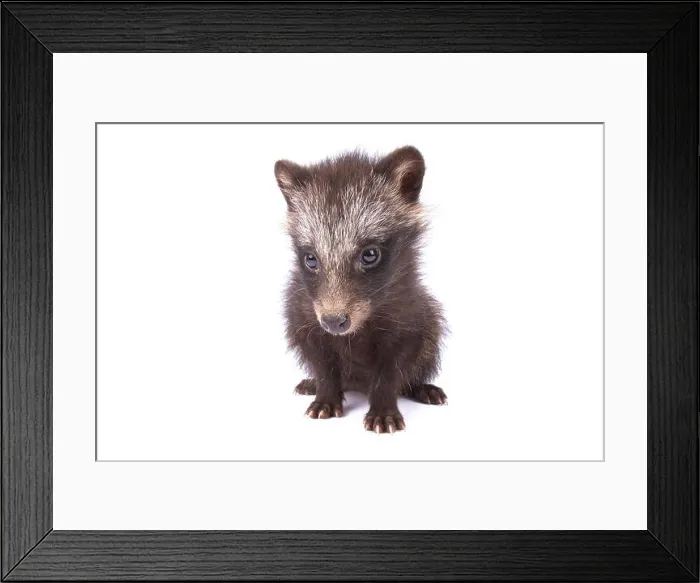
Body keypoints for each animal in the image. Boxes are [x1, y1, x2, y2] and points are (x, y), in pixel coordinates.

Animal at [274, 145, 447, 434]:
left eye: (370, 255)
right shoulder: (302, 314)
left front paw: (384, 407)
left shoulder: (408, 314)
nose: (333, 322)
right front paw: (325, 393)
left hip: (430, 317)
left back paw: (420, 387)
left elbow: (392, 368)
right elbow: (320, 361)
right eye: (311, 259)